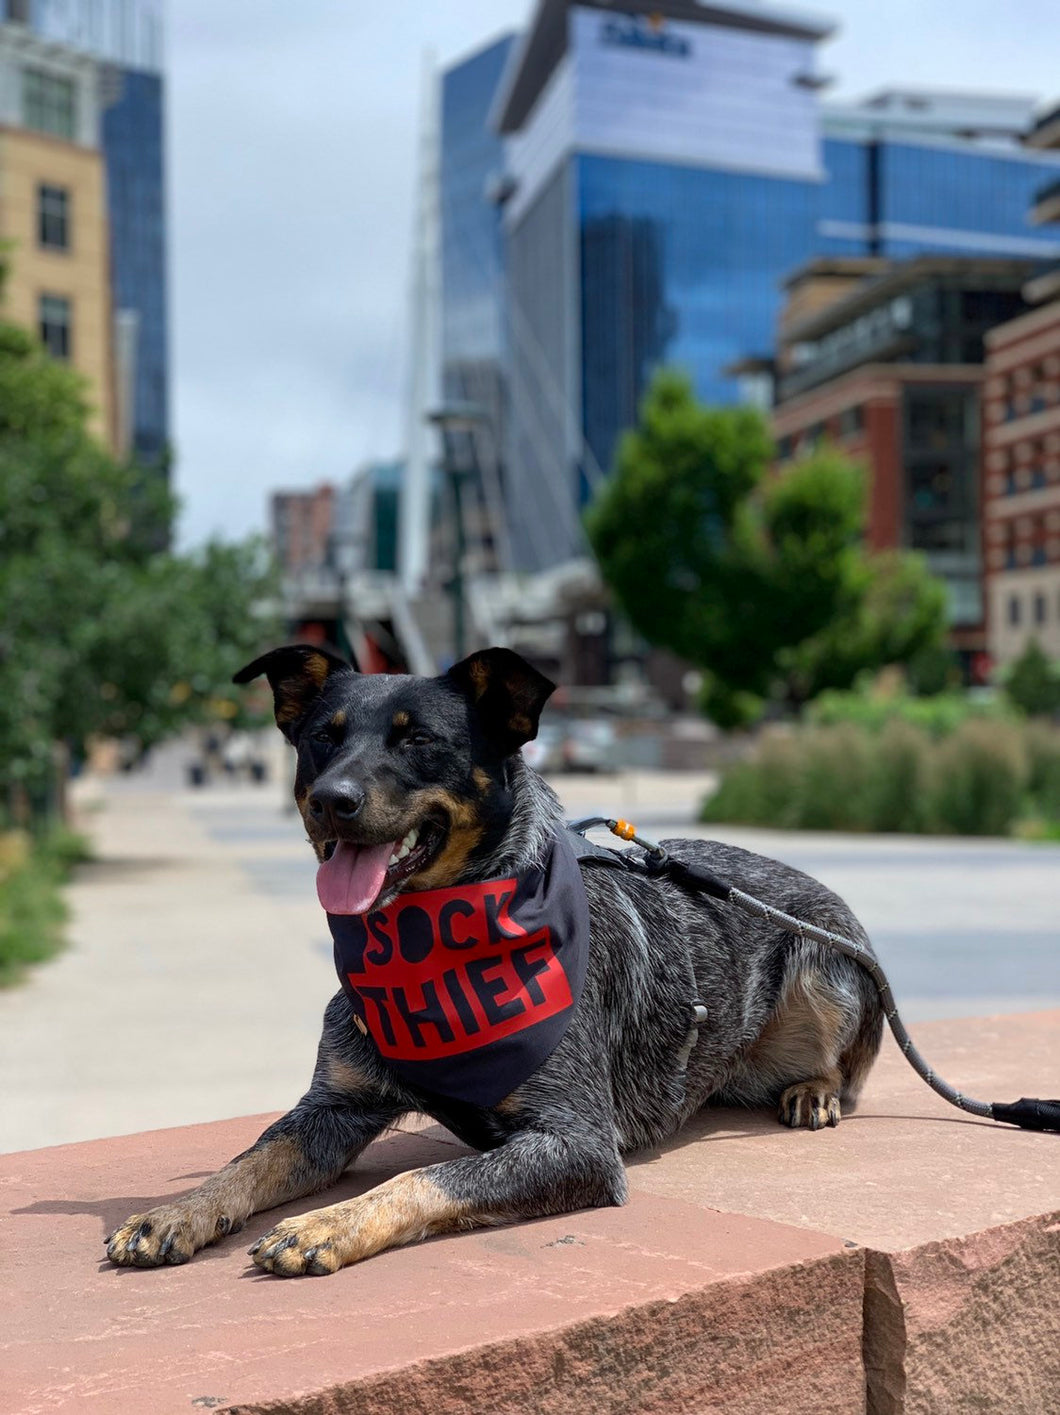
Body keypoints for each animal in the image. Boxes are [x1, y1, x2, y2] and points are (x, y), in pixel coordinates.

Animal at [105, 648, 883, 1279]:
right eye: (322, 737)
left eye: (417, 739)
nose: (331, 799)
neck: (427, 945)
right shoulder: (332, 1109)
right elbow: (252, 1158)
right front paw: (178, 1209)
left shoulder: (576, 1142)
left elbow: (426, 1176)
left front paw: (328, 1222)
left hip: (825, 969)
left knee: (845, 1068)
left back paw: (813, 1089)